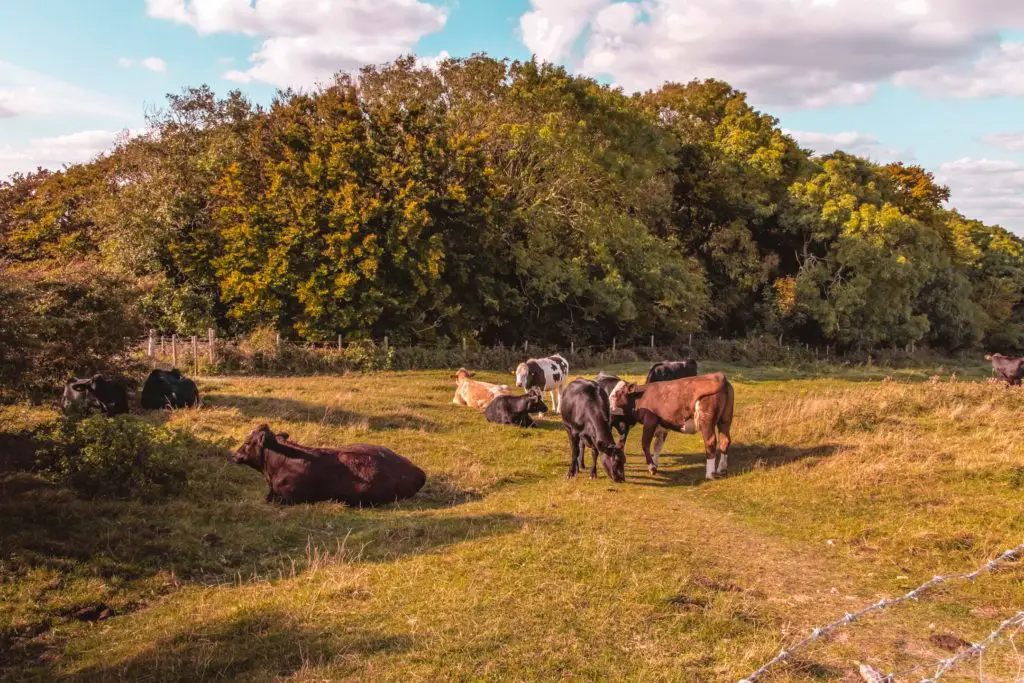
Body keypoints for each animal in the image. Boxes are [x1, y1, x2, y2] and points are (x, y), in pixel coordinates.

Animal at [606, 374, 737, 481]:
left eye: (616, 395)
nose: (608, 407)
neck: (640, 397)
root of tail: (719, 376)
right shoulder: (662, 426)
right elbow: (657, 446)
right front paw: (655, 463)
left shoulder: (650, 420)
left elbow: (645, 444)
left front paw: (652, 467)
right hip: (726, 419)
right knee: (725, 440)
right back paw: (722, 469)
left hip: (706, 421)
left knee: (710, 442)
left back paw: (710, 474)